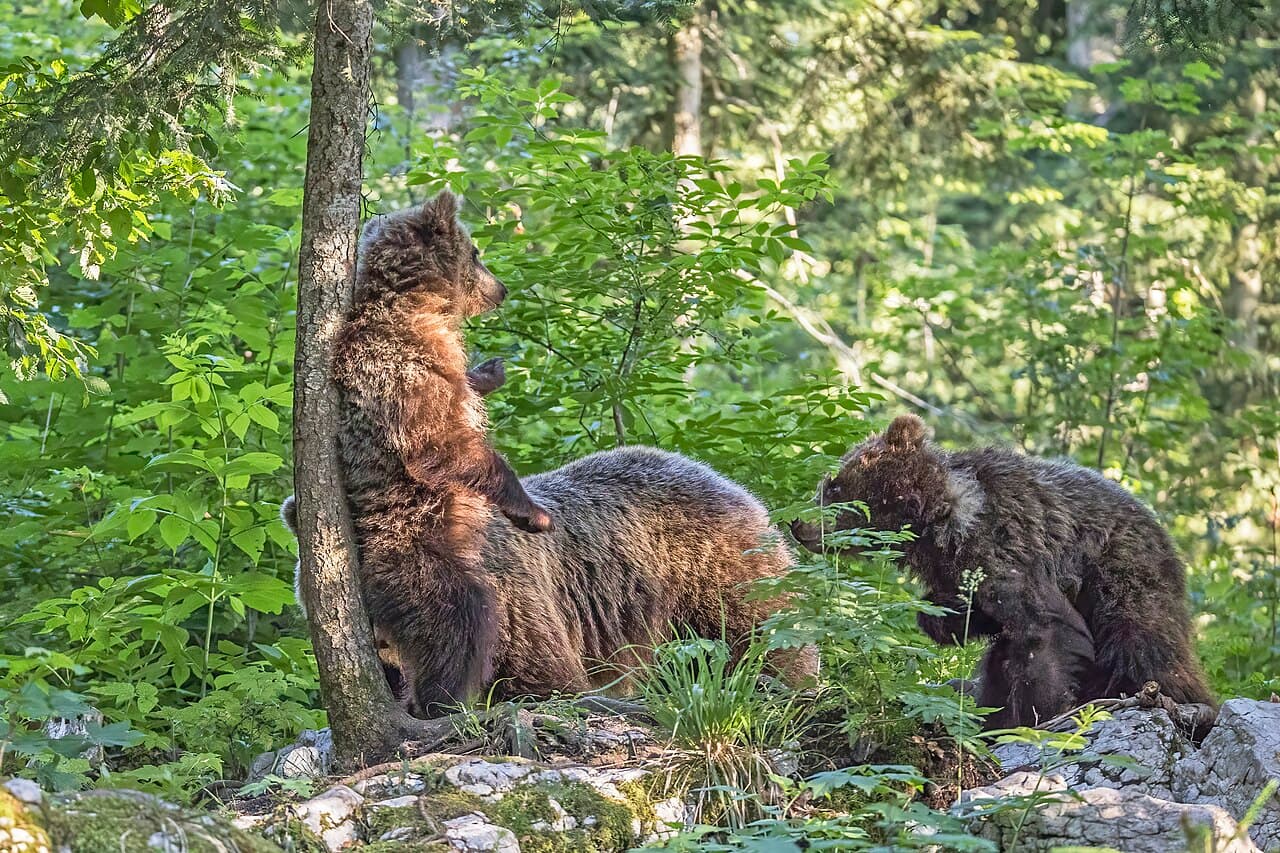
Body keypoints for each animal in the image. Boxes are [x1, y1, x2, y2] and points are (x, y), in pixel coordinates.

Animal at [289, 191, 815, 717]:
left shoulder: (522, 596)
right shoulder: (401, 366)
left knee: (761, 633)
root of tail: (738, 490)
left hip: (712, 569)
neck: (413, 312)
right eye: (478, 252)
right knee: (462, 613)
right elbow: (438, 439)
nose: (500, 288)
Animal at [790, 413, 1214, 729]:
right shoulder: (957, 570)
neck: (937, 521)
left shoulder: (1006, 547)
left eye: (833, 485)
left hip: (1124, 575)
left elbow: (1045, 631)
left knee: (1143, 642)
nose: (797, 523)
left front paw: (1038, 714)